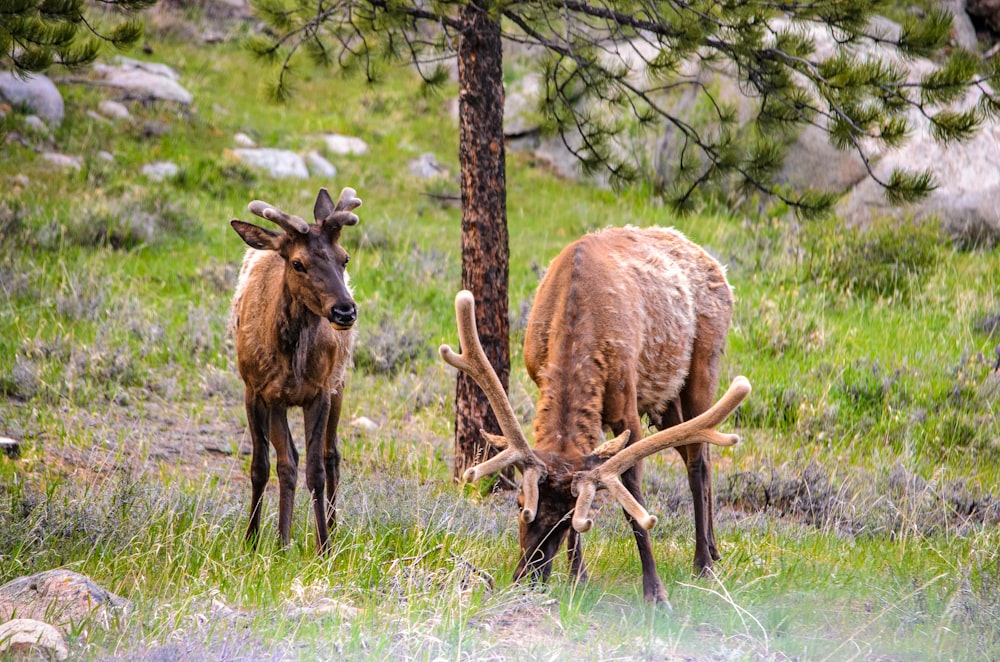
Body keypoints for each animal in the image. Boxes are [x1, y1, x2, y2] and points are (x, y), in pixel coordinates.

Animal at [229, 185, 362, 556]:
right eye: (298, 263)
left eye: (344, 258)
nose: (344, 311)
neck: (290, 359)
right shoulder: (258, 390)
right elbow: (265, 466)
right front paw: (255, 539)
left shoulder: (319, 391)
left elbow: (315, 470)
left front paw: (323, 546)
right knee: (287, 459)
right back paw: (278, 538)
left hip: (340, 384)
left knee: (332, 455)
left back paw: (330, 528)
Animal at [440, 228, 752, 608]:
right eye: (520, 504)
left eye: (566, 520)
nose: (526, 578)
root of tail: (711, 261)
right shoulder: (538, 375)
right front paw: (579, 577)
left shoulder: (627, 406)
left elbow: (634, 500)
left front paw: (655, 592)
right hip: (664, 400)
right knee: (694, 449)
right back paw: (715, 549)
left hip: (704, 363)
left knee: (699, 460)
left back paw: (704, 563)